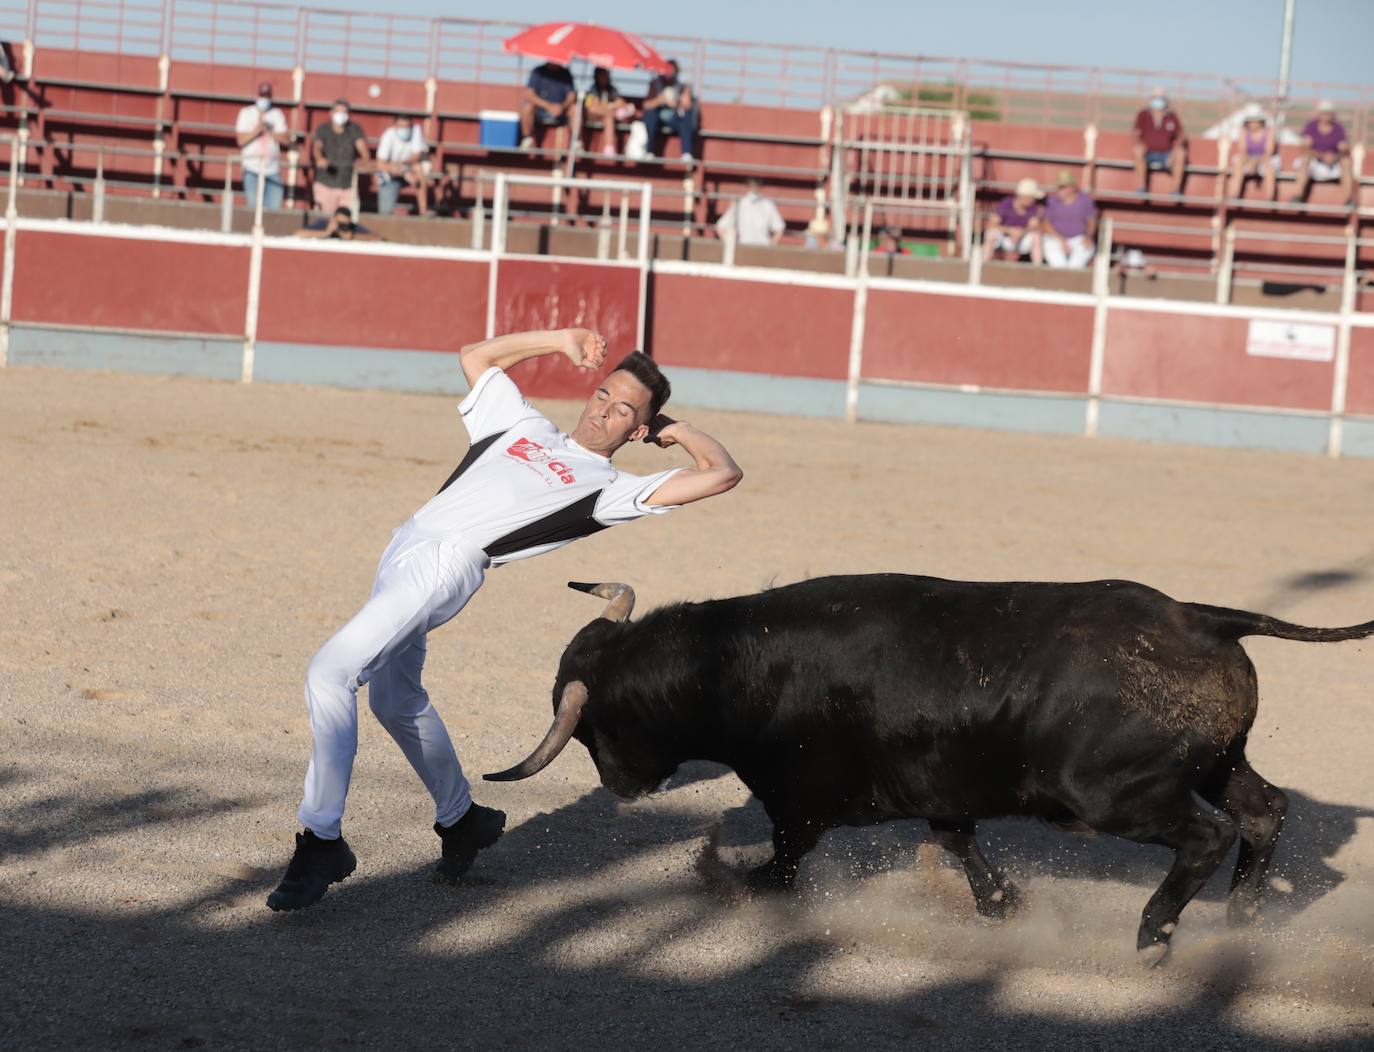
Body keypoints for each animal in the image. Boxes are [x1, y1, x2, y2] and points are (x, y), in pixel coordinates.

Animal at [489, 576, 1368, 966]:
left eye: (592, 728)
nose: (619, 786)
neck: (731, 668)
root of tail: (1199, 618)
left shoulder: (799, 804)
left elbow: (781, 865)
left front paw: (723, 878)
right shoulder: (941, 792)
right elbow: (956, 844)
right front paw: (1001, 906)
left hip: (1119, 795)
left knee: (1208, 835)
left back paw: (1154, 936)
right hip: (1218, 765)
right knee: (1264, 811)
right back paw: (1242, 924)